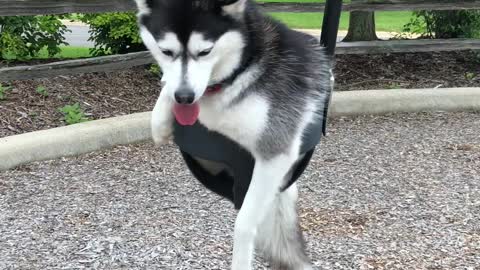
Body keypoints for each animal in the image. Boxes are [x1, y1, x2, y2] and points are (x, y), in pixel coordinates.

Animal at [133, 1, 332, 268]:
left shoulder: (275, 153)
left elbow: (244, 223)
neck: (239, 70)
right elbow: (168, 82)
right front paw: (159, 121)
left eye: (205, 52)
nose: (185, 97)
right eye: (166, 51)